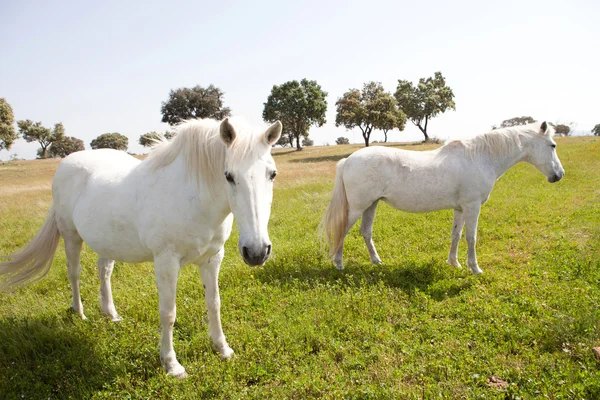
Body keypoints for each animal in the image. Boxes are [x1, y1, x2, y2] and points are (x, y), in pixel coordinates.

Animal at [0, 118, 282, 378]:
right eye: (228, 176)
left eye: (272, 174)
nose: (257, 251)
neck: (192, 196)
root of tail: (67, 162)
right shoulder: (166, 262)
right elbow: (168, 313)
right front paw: (172, 365)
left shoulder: (213, 258)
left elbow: (214, 303)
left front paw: (222, 349)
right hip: (71, 237)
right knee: (74, 274)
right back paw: (79, 313)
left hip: (107, 242)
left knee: (104, 272)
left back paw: (111, 314)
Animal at [324, 120, 564, 274]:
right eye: (552, 145)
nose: (559, 175)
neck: (480, 158)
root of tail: (348, 160)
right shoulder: (472, 206)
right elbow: (471, 237)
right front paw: (475, 268)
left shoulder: (460, 208)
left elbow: (456, 235)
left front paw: (454, 263)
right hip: (358, 207)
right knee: (342, 230)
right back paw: (339, 264)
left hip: (371, 205)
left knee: (366, 232)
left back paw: (377, 261)